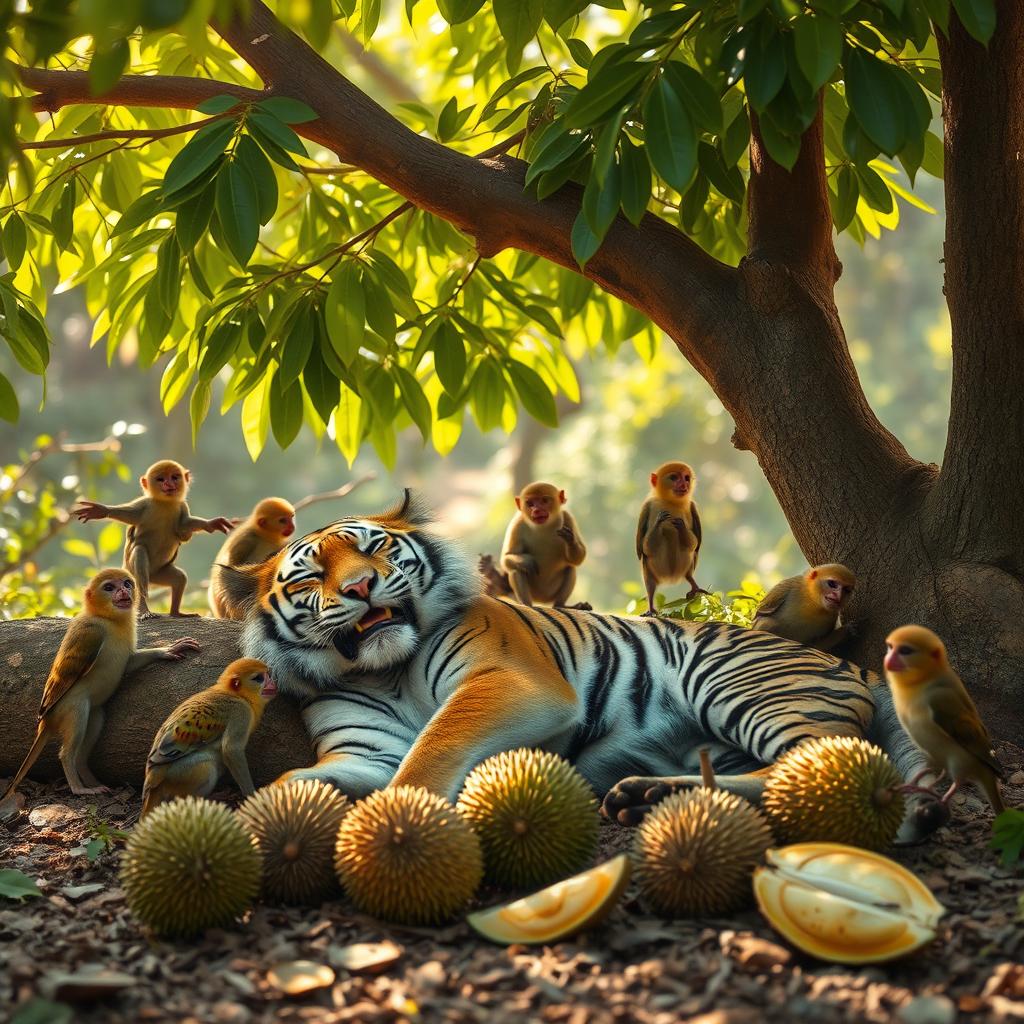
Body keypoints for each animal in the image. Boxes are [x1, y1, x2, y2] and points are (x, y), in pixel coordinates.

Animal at [222, 491, 945, 843]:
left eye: (373, 550)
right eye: (313, 574)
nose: (361, 587)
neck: (384, 667)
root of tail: (857, 668)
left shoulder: (510, 683)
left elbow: (433, 749)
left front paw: (401, 818)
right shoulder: (364, 753)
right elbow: (286, 785)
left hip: (738, 684)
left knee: (825, 766)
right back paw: (644, 796)